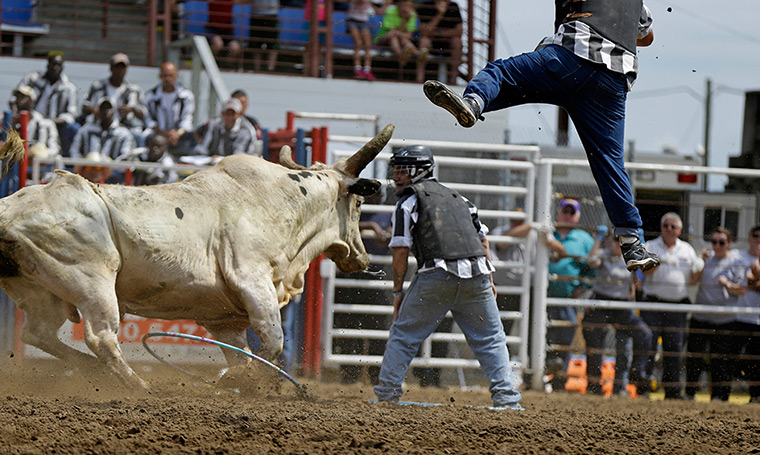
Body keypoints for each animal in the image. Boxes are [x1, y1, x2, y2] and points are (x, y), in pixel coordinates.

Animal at [0, 125, 394, 392]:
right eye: (360, 203)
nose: (360, 257)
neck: (280, 202)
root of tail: (9, 209)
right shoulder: (254, 282)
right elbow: (272, 342)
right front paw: (248, 381)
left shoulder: (223, 320)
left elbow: (245, 352)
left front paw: (241, 380)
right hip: (92, 282)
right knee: (102, 339)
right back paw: (140, 387)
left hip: (42, 292)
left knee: (37, 333)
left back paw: (95, 372)